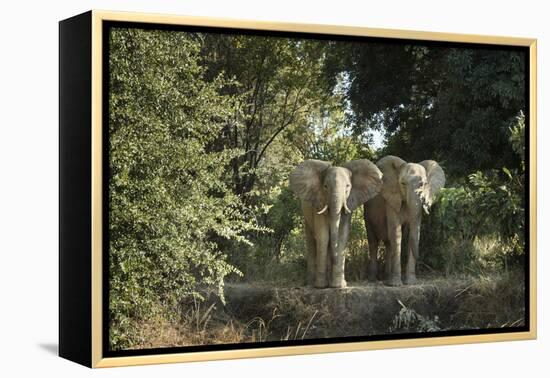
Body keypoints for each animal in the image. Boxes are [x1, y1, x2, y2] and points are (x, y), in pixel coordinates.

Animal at [294, 158, 384, 288]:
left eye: (348, 186)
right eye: (325, 186)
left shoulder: (349, 201)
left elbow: (342, 235)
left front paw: (338, 286)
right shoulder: (319, 202)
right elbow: (323, 237)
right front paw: (321, 286)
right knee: (311, 240)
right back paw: (311, 283)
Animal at [364, 155, 446, 284]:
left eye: (424, 184)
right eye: (403, 183)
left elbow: (414, 231)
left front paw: (411, 282)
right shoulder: (391, 200)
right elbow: (396, 233)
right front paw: (396, 284)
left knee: (388, 243)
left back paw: (387, 277)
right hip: (367, 212)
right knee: (373, 242)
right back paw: (372, 279)